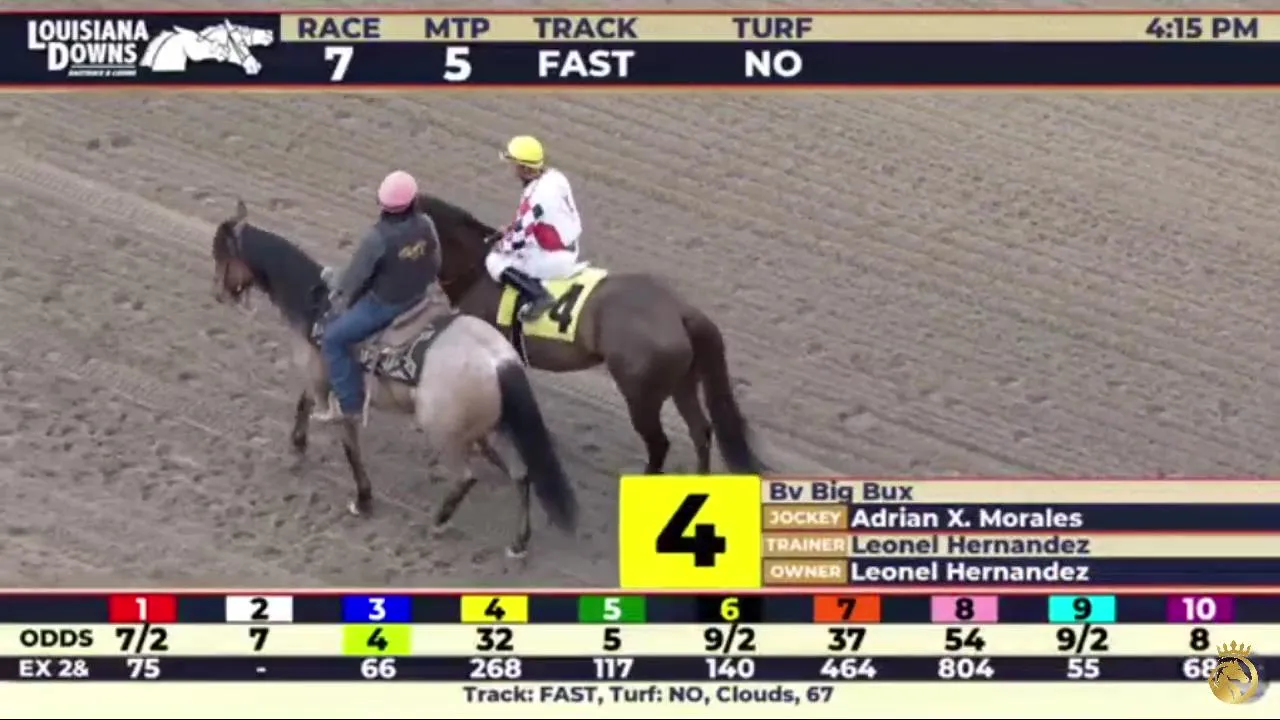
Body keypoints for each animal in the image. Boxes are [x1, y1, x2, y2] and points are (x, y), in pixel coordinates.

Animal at [210, 200, 578, 557]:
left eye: (222, 255)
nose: (218, 295)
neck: (315, 308)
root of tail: (498, 361)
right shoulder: (321, 382)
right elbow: (304, 405)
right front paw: (298, 446)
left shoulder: (337, 392)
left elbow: (348, 446)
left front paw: (362, 499)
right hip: (491, 432)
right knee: (521, 475)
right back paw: (518, 542)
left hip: (446, 435)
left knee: (466, 477)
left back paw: (439, 520)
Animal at [413, 193, 766, 476]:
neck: (476, 273)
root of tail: (678, 310)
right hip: (682, 382)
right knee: (700, 431)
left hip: (641, 395)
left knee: (660, 444)